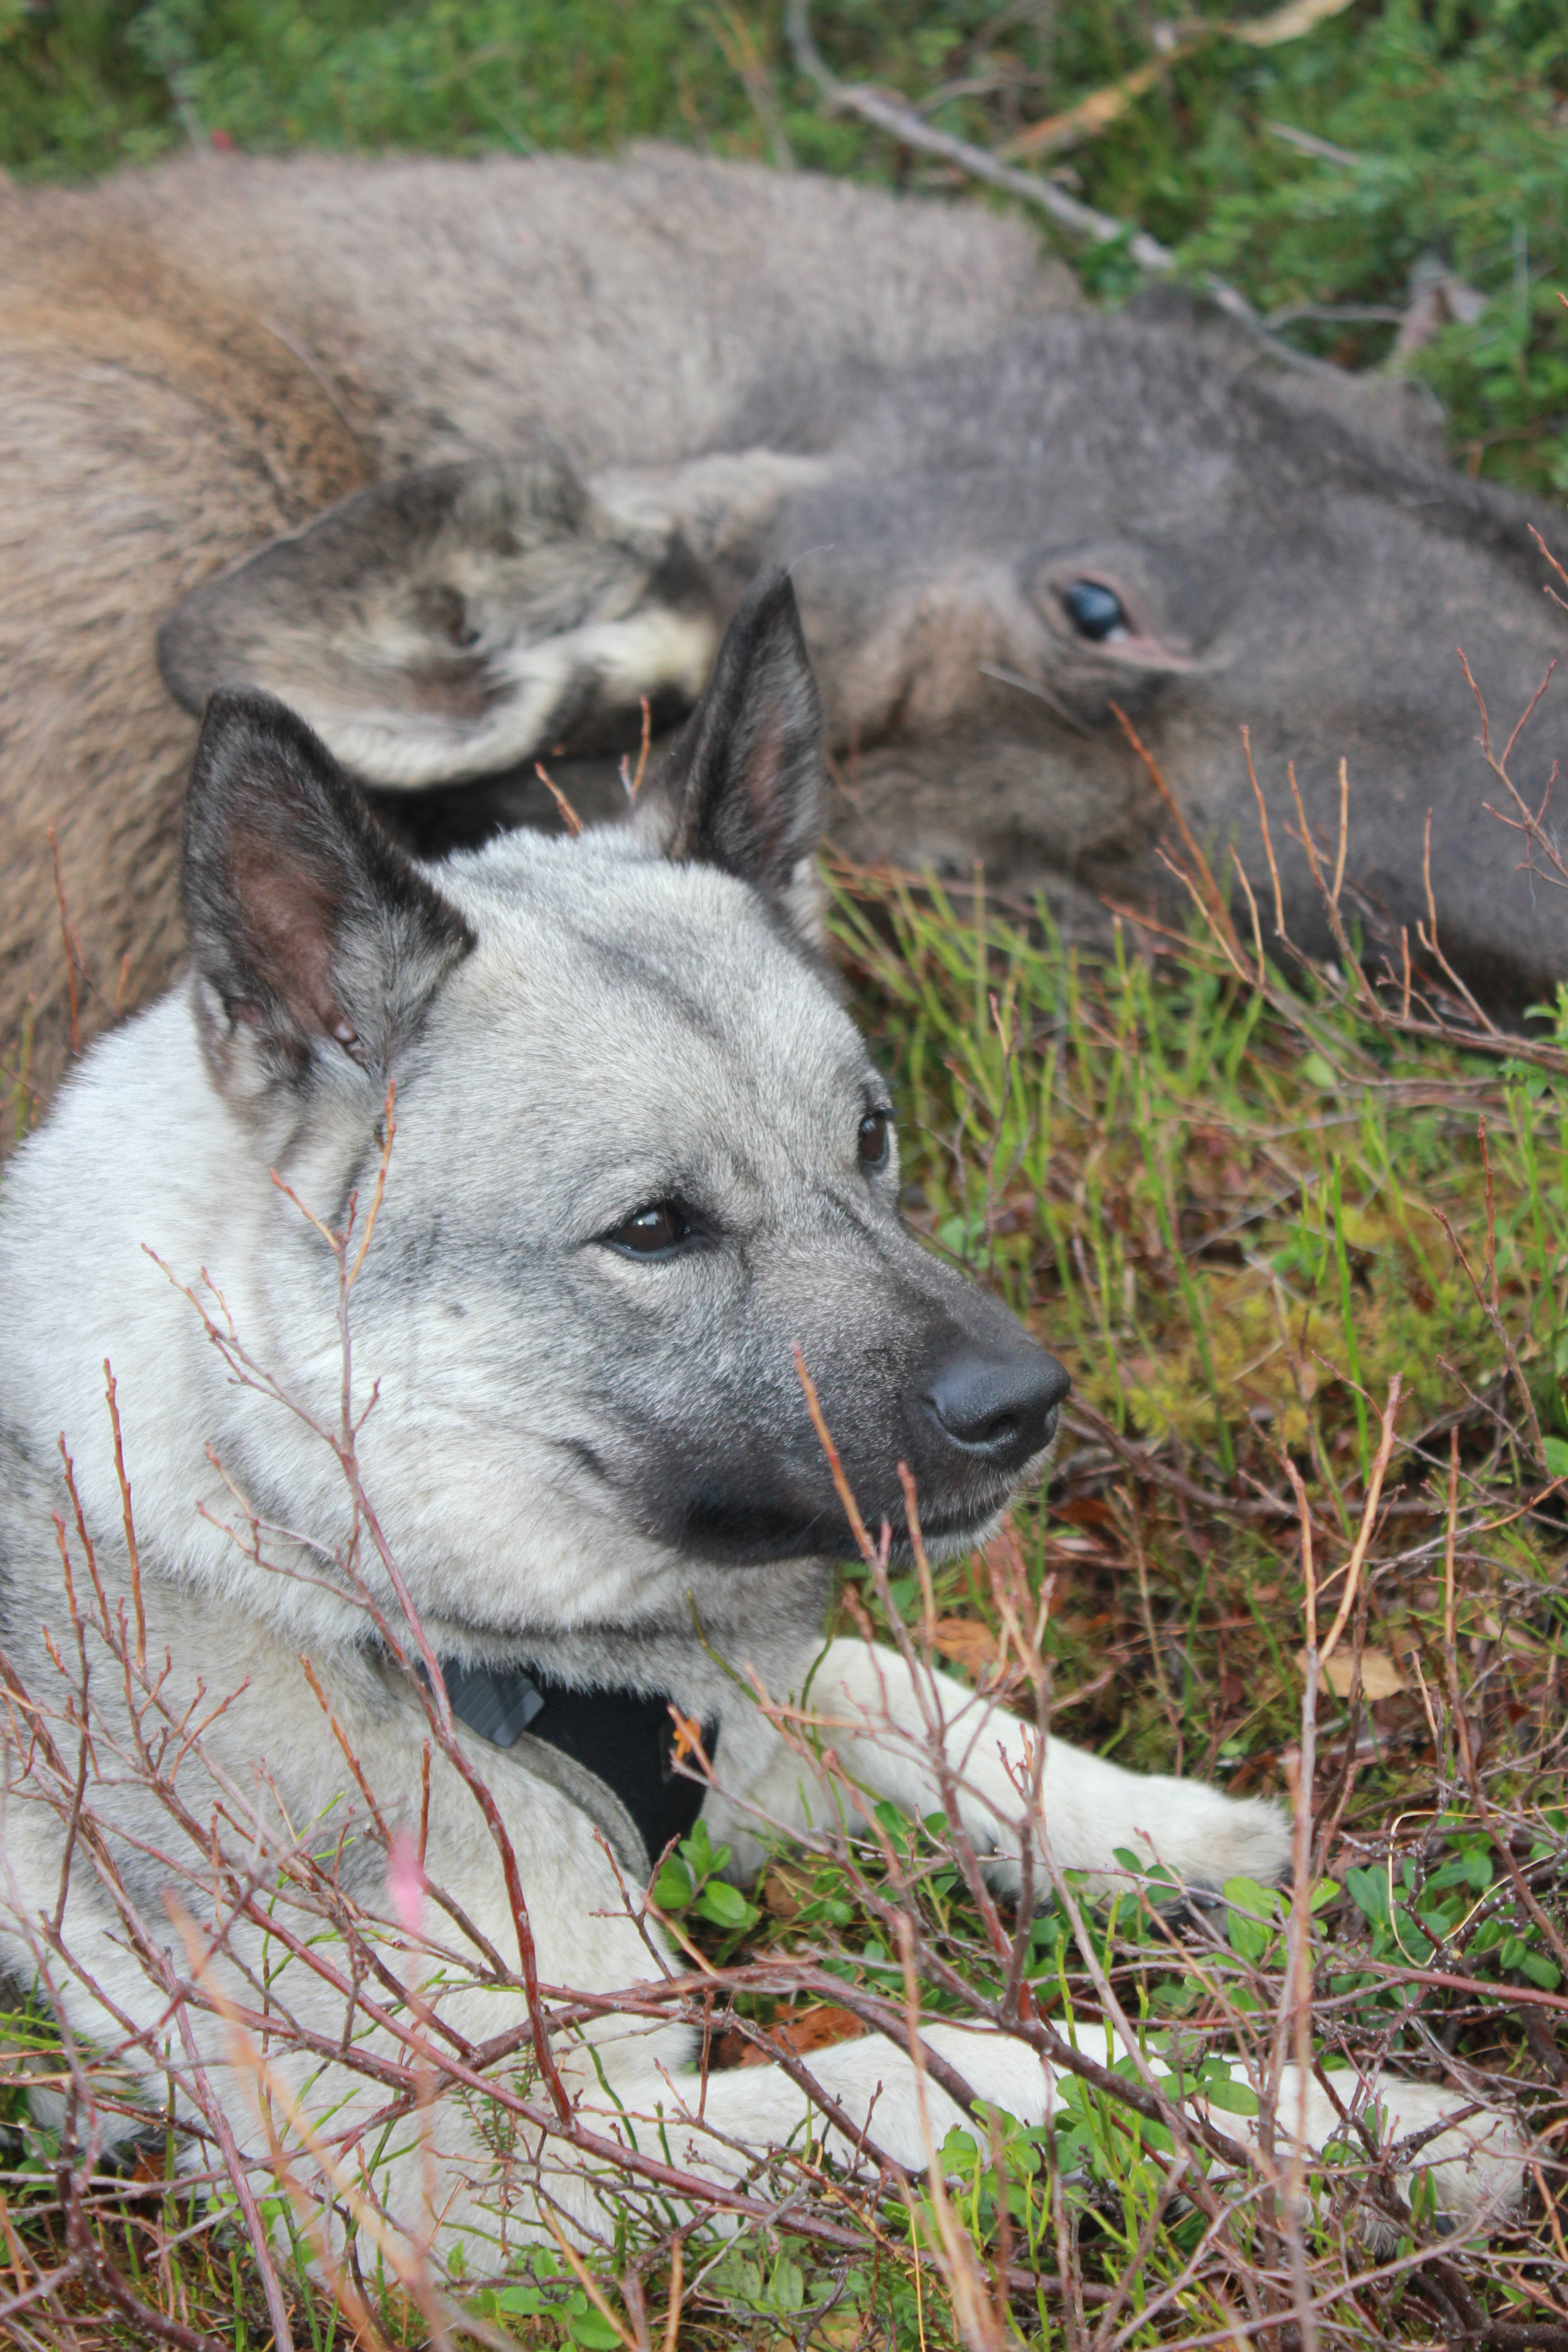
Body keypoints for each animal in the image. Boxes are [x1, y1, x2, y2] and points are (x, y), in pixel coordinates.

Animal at [0, 574, 1523, 2277]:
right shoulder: (491, 2170)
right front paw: (1338, 2123)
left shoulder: (742, 1734)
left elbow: (909, 1697)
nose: (1026, 1404)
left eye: (868, 1139)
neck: (344, 1572)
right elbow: (953, 2066)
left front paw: (1181, 1837)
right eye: (654, 1228)